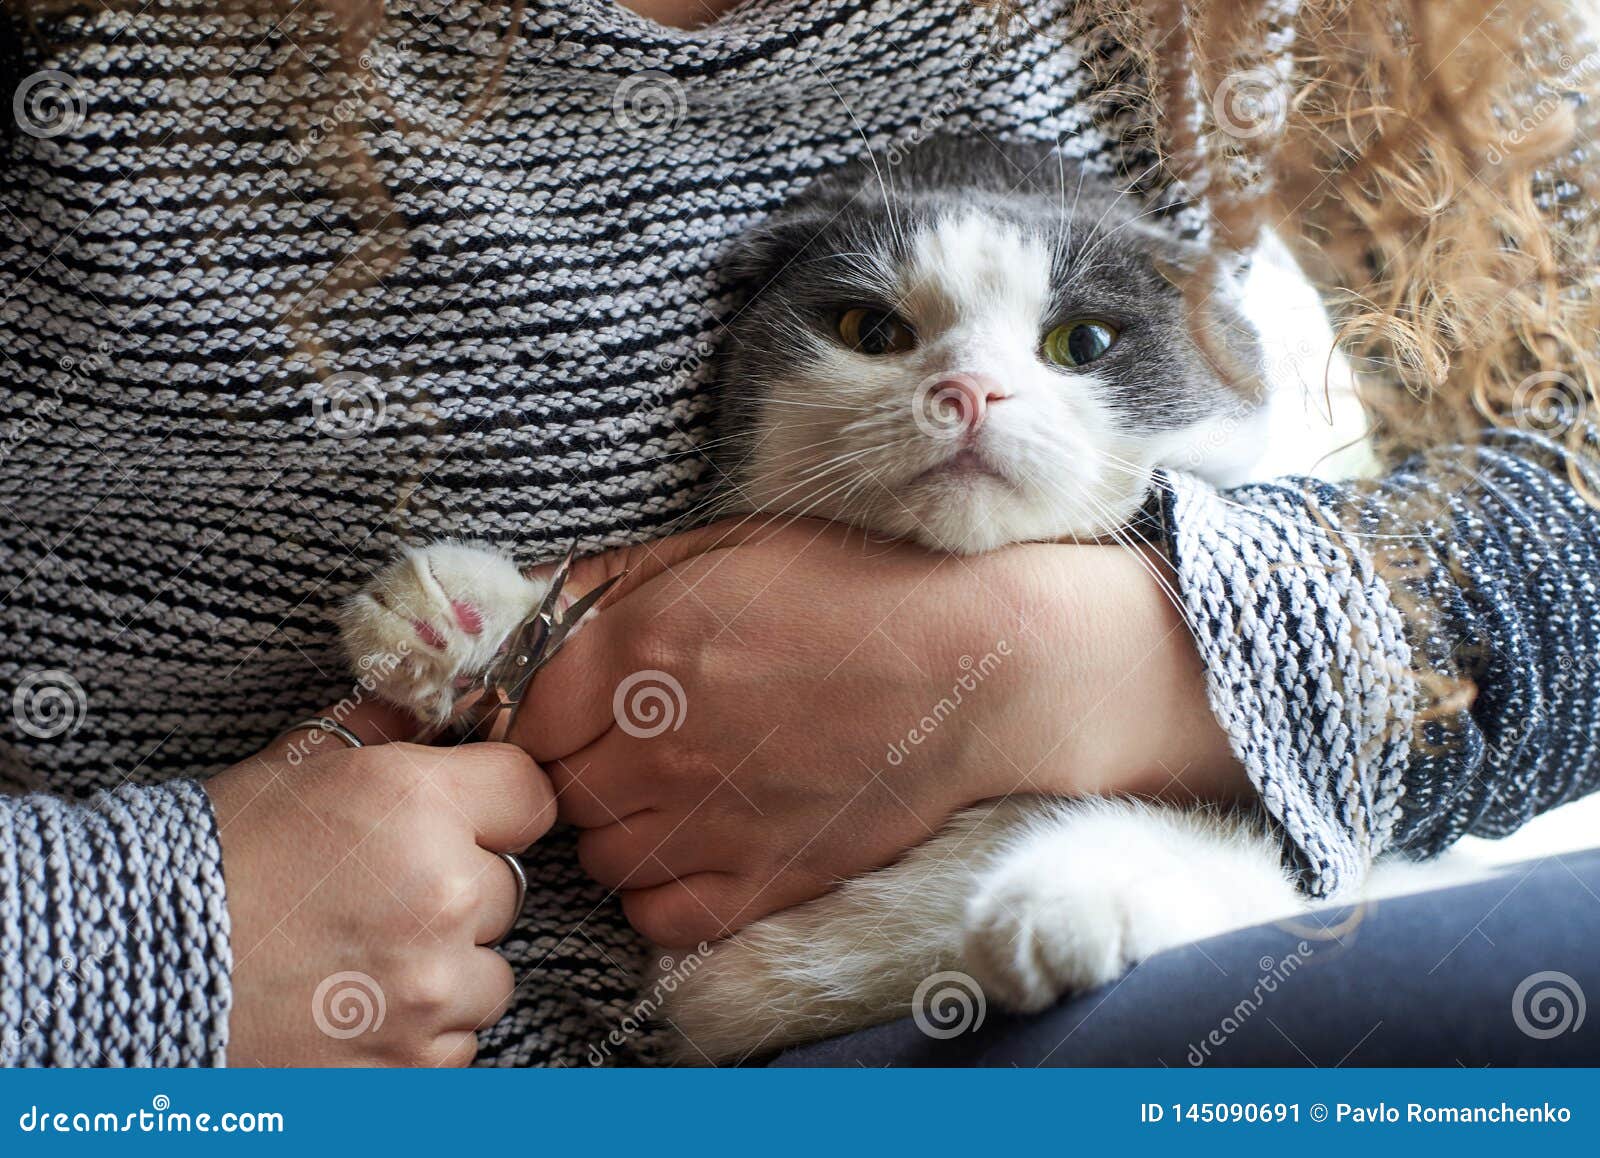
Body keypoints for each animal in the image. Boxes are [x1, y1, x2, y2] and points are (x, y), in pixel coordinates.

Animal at [337, 139, 1337, 1062]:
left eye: (1082, 343)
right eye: (871, 330)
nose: (968, 390)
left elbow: (1210, 859)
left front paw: (1064, 902)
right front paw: (462, 619)